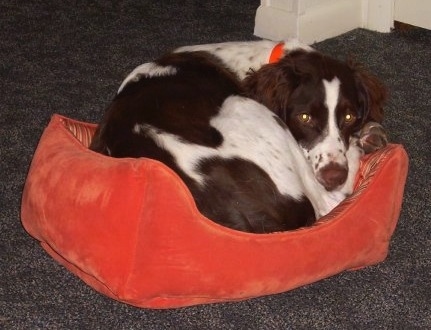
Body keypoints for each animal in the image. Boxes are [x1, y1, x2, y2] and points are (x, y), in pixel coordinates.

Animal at [91, 40, 388, 233]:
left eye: (349, 117)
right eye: (304, 118)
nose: (333, 176)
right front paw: (364, 139)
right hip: (248, 108)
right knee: (329, 203)